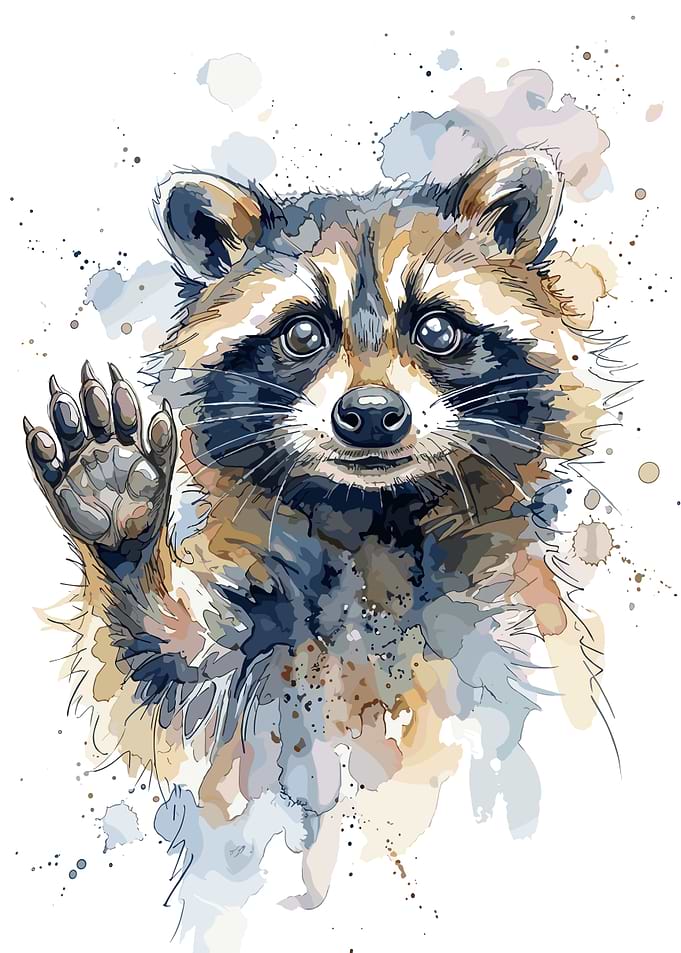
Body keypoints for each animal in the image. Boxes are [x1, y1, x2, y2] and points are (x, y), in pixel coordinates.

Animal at [25, 149, 607, 907]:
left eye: (437, 330)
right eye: (302, 334)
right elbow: (159, 683)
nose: (372, 415)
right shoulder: (256, 618)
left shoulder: (509, 612)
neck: (371, 519)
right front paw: (123, 533)